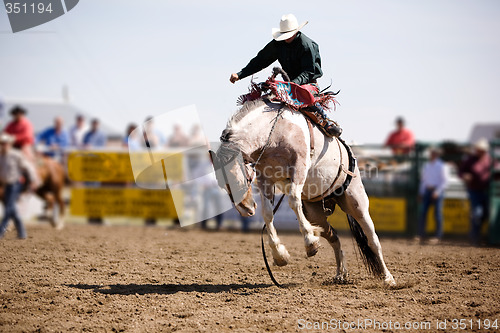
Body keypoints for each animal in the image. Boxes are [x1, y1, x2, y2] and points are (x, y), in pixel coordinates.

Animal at [213, 97, 396, 286]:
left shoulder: (299, 167)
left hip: (356, 203)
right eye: (221, 184)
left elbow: (294, 200)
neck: (274, 132)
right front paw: (280, 255)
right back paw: (341, 274)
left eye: (239, 180)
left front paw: (309, 242)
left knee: (373, 240)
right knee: (334, 237)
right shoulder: (265, 178)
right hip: (316, 213)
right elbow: (267, 213)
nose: (246, 209)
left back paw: (388, 278)